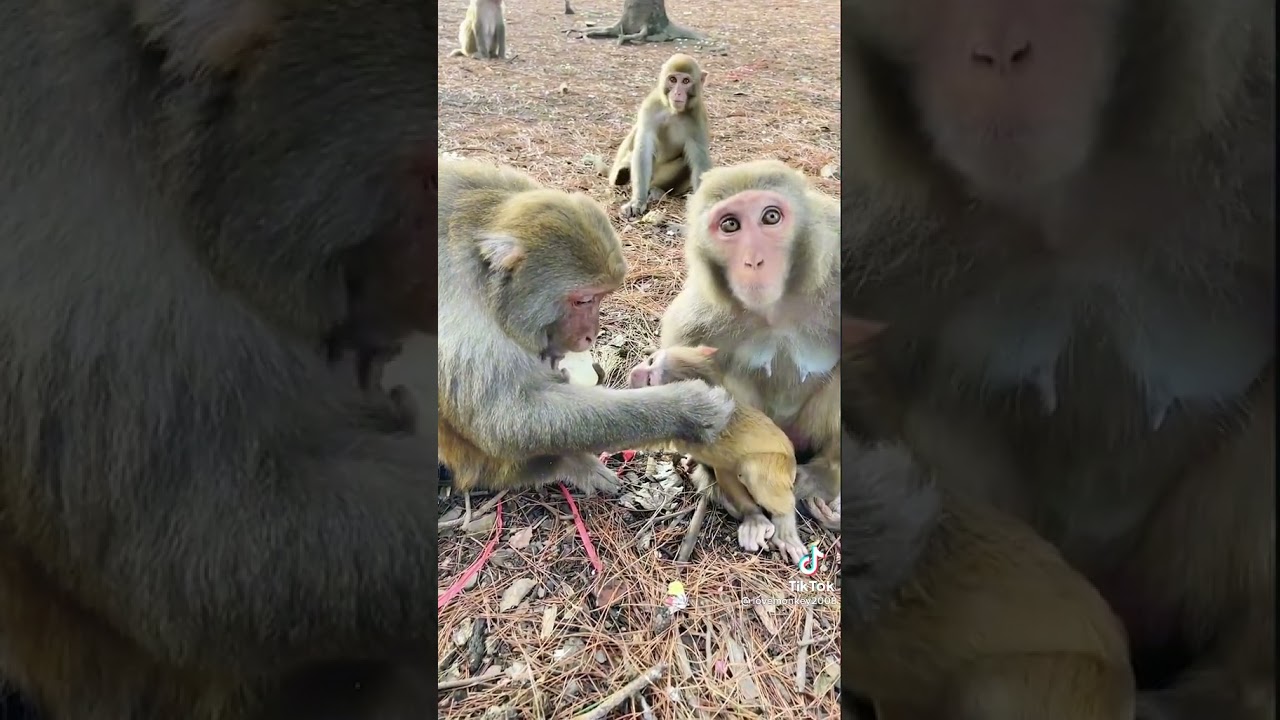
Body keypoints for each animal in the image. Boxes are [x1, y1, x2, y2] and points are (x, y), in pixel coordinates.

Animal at [437, 158, 737, 496]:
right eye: (583, 300)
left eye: (601, 297)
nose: (590, 335)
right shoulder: (459, 319)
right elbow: (508, 420)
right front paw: (688, 410)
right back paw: (561, 464)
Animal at [608, 53, 712, 219]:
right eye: (673, 80)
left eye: (686, 81)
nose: (677, 93)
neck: (673, 111)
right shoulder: (651, 106)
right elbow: (643, 148)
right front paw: (638, 201)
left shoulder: (698, 118)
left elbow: (699, 159)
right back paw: (622, 173)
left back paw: (657, 190)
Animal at [628, 346, 809, 563]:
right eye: (651, 360)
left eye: (649, 380)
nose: (635, 372)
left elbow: (727, 468)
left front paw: (754, 516)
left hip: (782, 464)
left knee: (751, 469)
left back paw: (782, 520)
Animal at [659, 159, 842, 534]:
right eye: (730, 224)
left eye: (770, 217)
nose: (754, 261)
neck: (776, 310)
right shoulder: (695, 318)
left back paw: (823, 476)